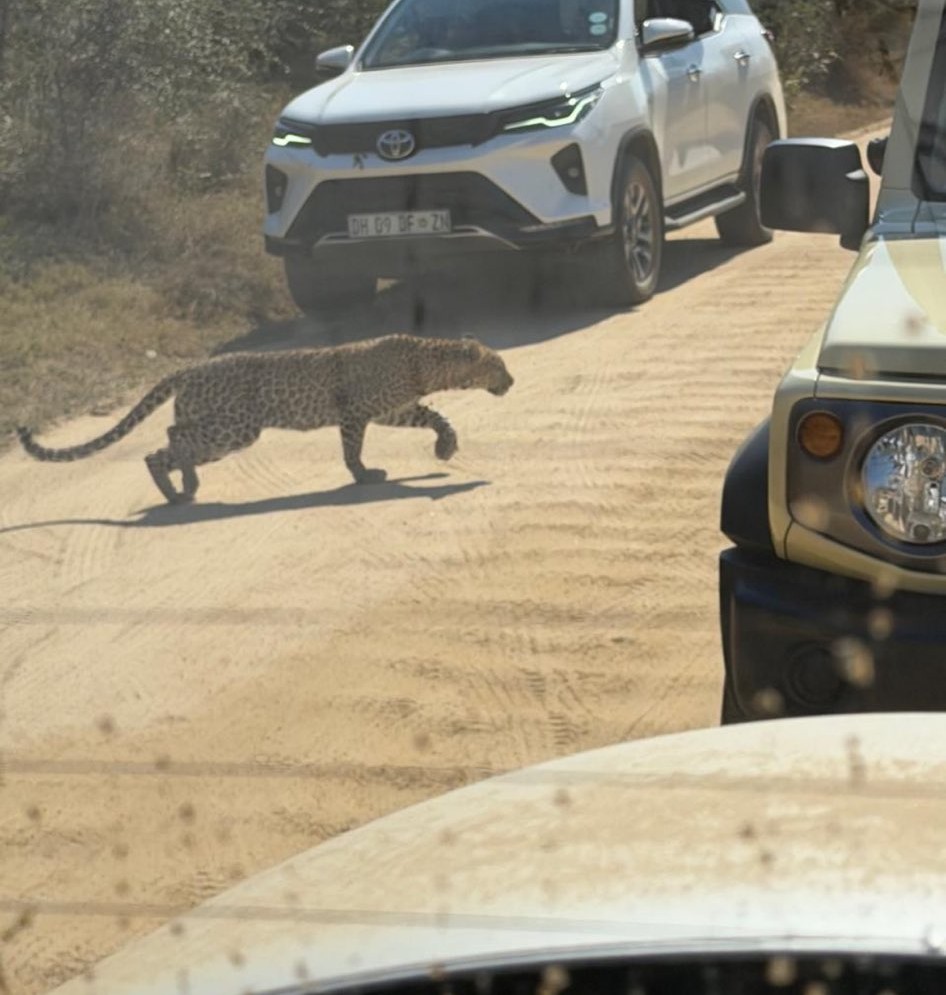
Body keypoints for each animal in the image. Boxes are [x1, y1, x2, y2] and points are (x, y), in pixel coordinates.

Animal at [16, 334, 514, 505]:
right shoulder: (356, 413)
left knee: (161, 451)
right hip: (236, 427)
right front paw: (364, 475)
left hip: (222, 431)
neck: (427, 363)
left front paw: (445, 447)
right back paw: (185, 487)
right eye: (499, 365)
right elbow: (352, 450)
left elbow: (436, 416)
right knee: (173, 436)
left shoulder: (395, 409)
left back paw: (178, 491)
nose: (511, 380)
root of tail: (188, 369)